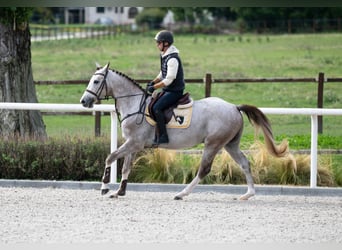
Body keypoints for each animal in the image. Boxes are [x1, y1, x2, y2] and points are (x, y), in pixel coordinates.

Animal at [81, 63, 288, 200]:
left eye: (96, 81)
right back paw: (248, 194)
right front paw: (120, 191)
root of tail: (234, 107)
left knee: (204, 169)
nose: (84, 101)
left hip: (213, 144)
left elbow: (110, 157)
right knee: (244, 163)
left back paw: (182, 193)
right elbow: (125, 167)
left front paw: (105, 187)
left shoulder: (134, 143)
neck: (134, 104)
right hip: (230, 144)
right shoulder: (133, 144)